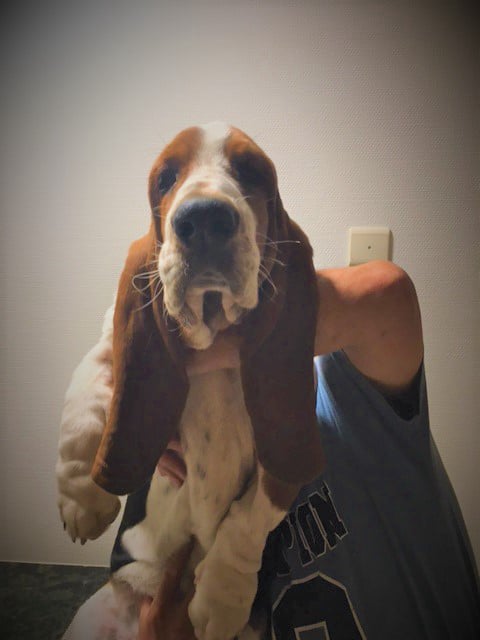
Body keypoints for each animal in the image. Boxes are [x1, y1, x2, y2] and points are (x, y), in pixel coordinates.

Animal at [56, 122, 323, 639]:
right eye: (165, 179)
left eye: (250, 170)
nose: (203, 218)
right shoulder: (109, 350)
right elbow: (85, 403)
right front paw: (82, 497)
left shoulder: (283, 453)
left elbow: (252, 514)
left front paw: (221, 597)